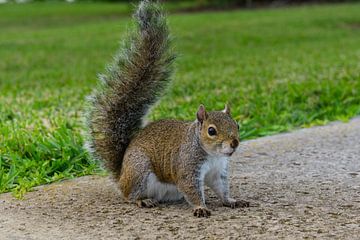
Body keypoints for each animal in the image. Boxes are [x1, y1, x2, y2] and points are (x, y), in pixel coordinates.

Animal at [87, 0, 250, 218]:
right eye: (211, 131)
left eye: (237, 125)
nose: (234, 143)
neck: (212, 154)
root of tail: (121, 175)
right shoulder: (187, 167)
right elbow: (191, 188)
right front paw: (200, 207)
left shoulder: (217, 172)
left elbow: (221, 188)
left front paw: (232, 201)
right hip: (139, 170)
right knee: (129, 196)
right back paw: (143, 200)